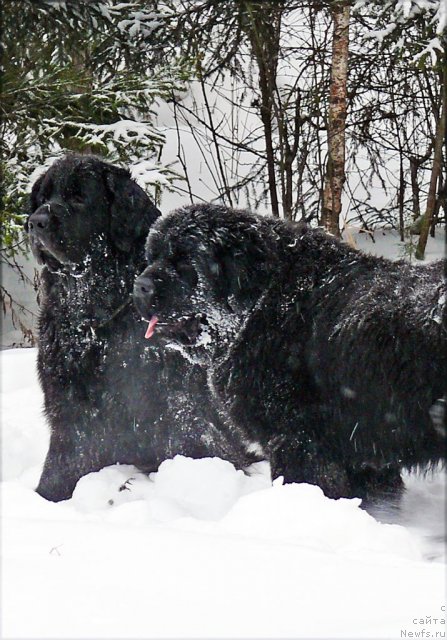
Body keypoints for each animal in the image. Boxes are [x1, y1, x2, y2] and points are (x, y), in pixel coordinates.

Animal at [26, 158, 252, 502]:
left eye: (79, 197)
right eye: (42, 197)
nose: (35, 221)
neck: (96, 322)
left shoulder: (178, 403)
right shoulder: (69, 407)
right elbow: (63, 462)